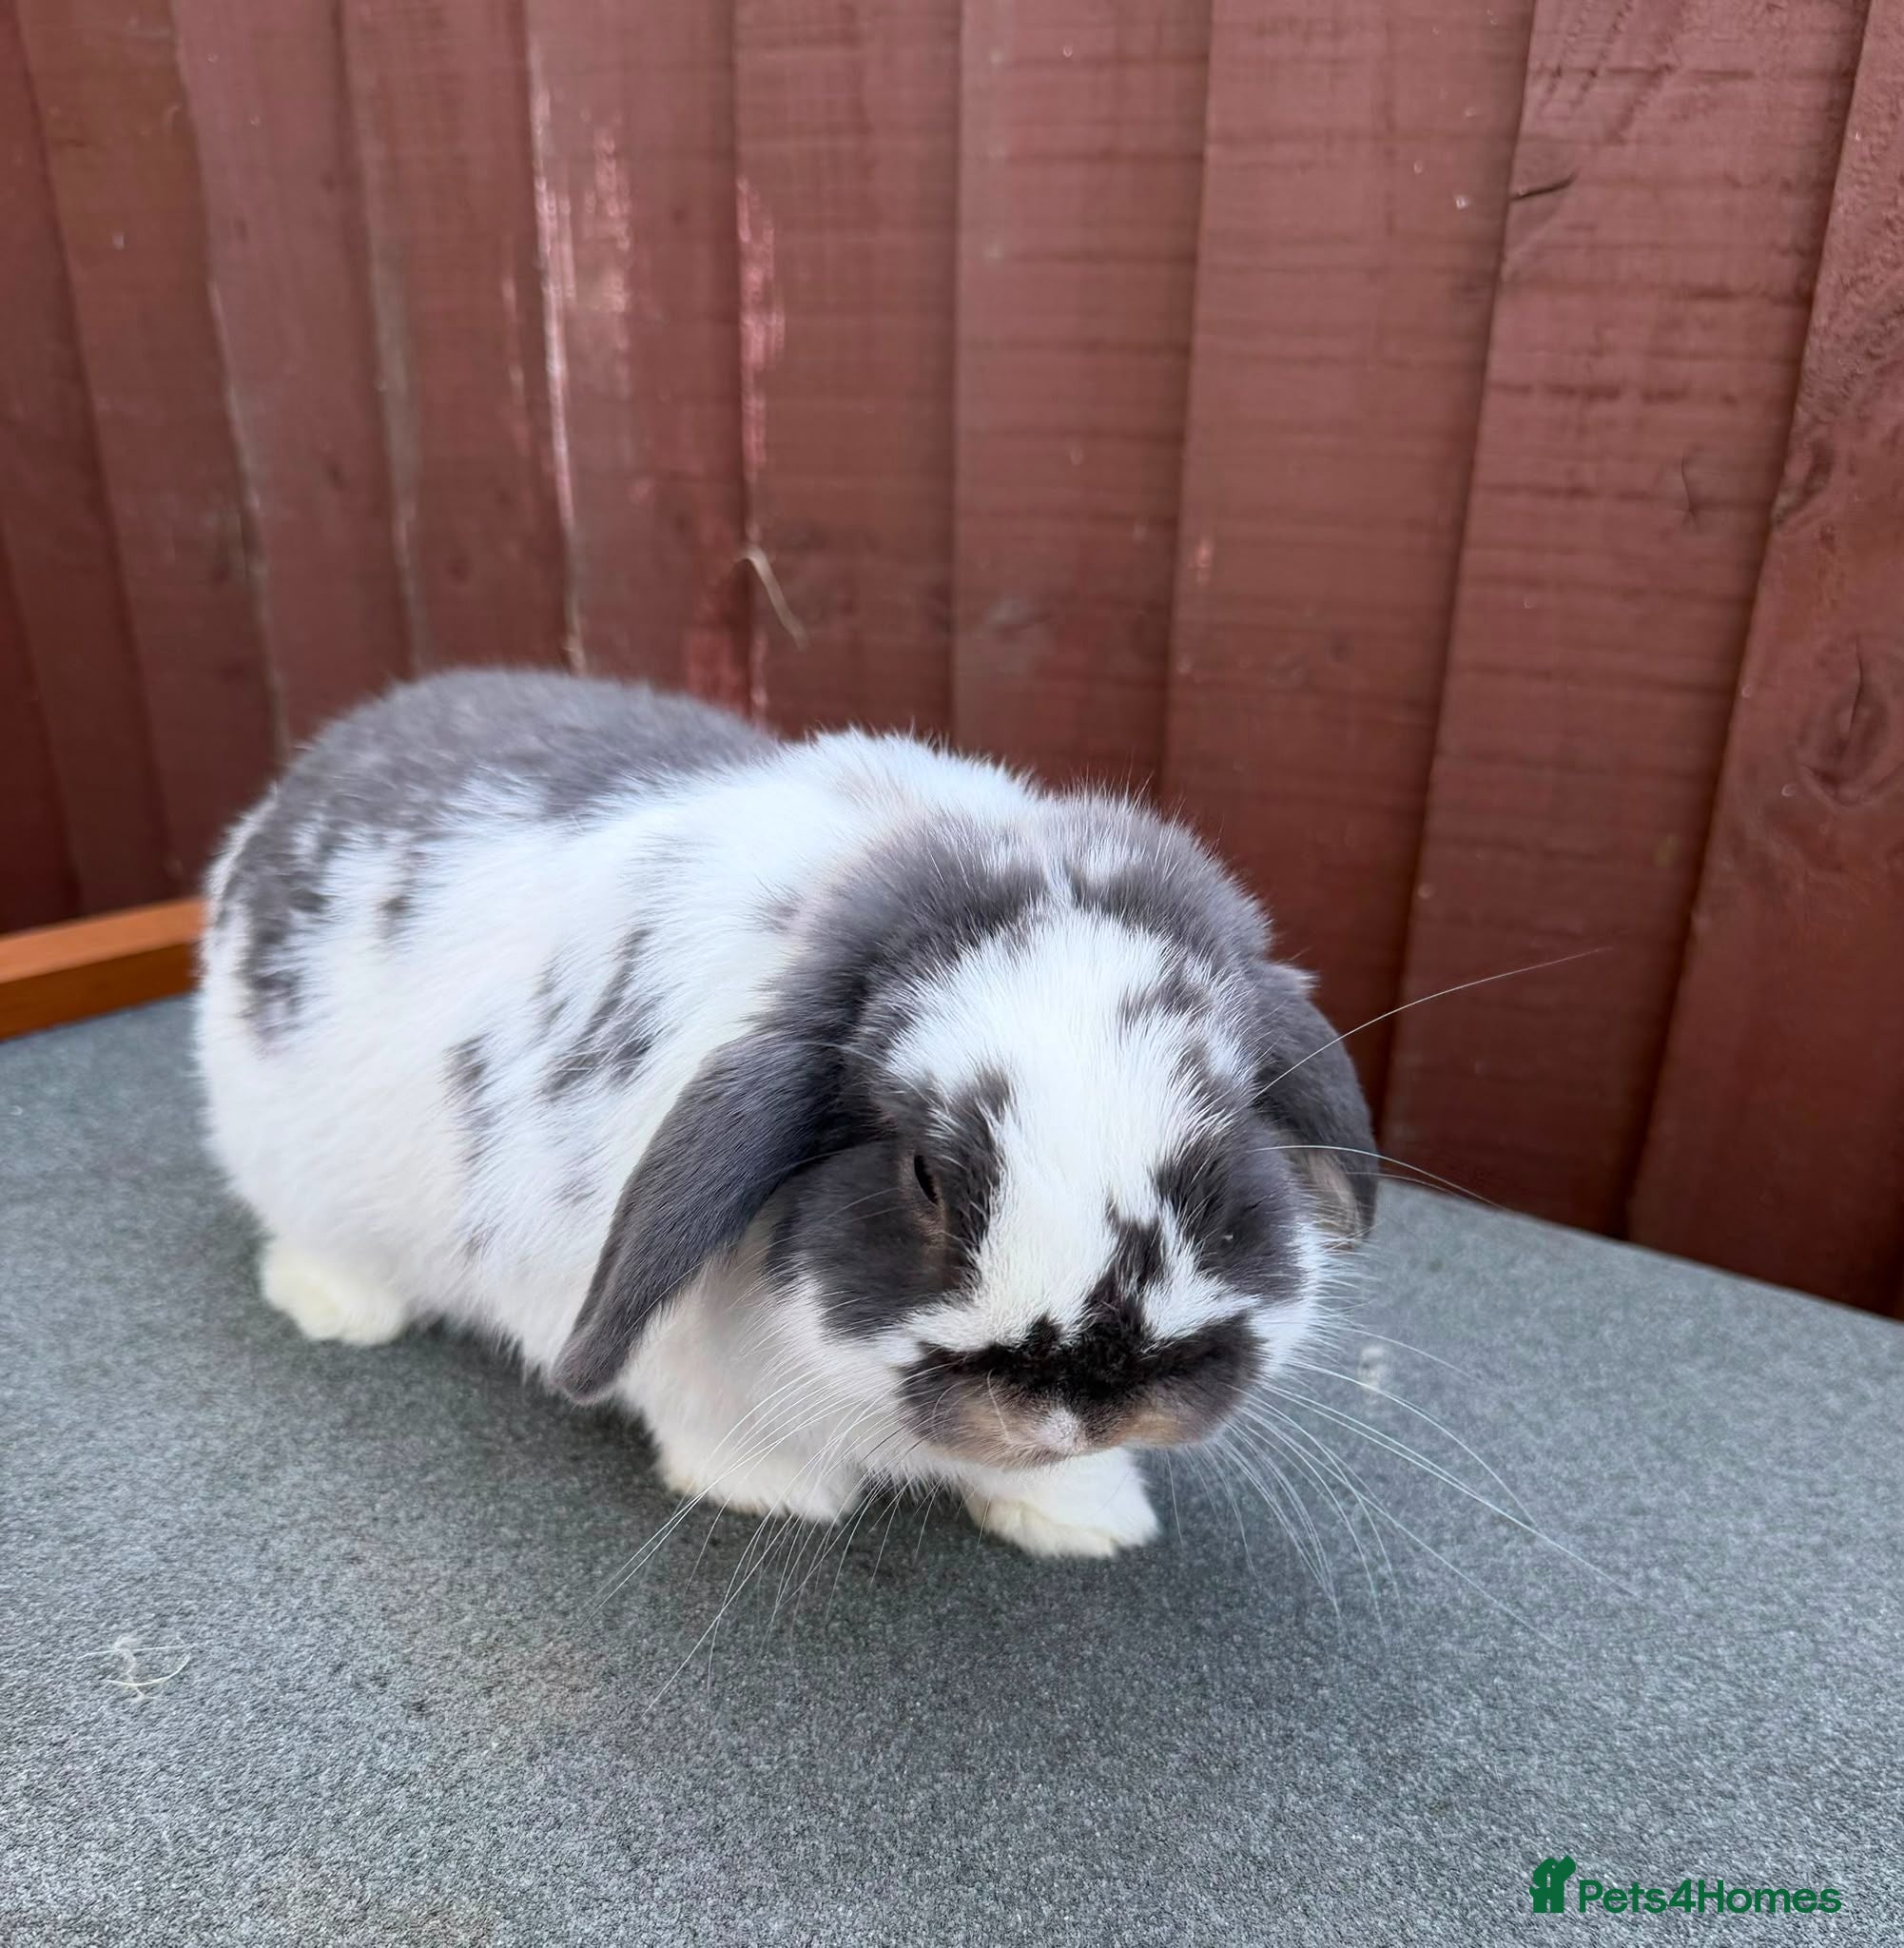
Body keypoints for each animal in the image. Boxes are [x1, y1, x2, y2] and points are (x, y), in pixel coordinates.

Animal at [197, 670, 1376, 1558]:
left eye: (1225, 1154)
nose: (1087, 1399)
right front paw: (782, 1491)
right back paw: (337, 1306)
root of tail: (316, 766)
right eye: (923, 1176)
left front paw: (1089, 1516)